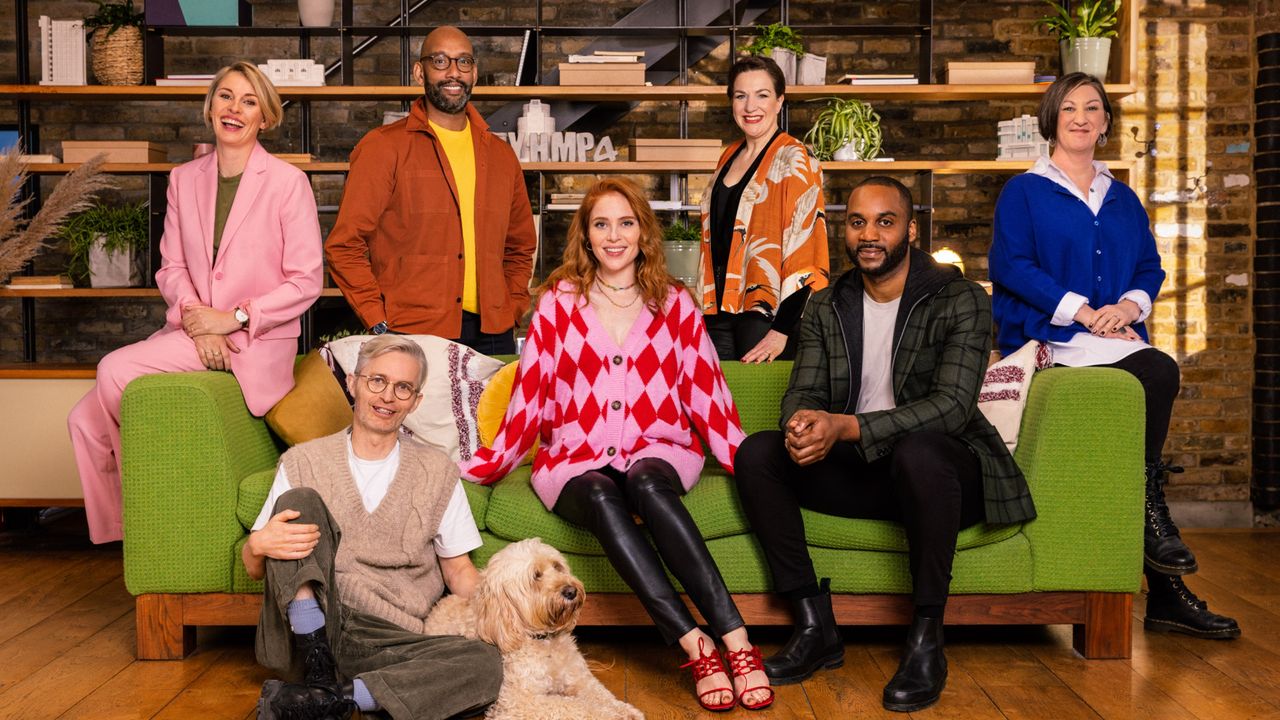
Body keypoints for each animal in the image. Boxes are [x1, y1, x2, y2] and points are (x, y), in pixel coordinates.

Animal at [422, 535, 640, 712]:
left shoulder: (580, 678)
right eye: (536, 576)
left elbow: (602, 695)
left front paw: (626, 711)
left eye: (557, 566)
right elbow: (577, 707)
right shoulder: (522, 701)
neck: (544, 640)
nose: (571, 591)